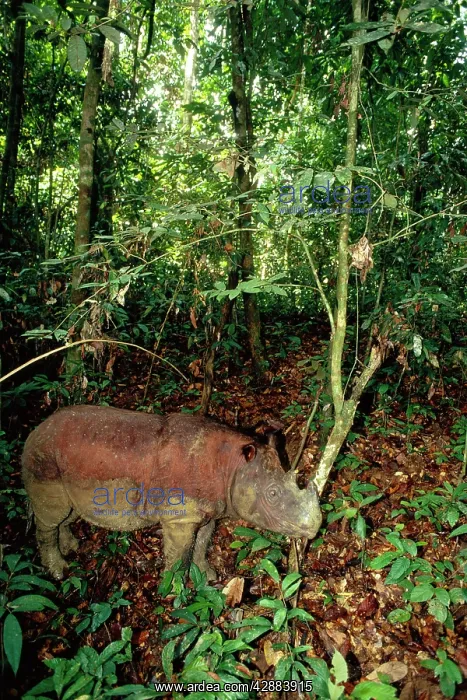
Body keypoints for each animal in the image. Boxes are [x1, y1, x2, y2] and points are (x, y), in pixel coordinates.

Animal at [22, 406, 322, 580]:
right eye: (272, 494)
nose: (315, 527)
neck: (233, 466)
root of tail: (35, 430)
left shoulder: (208, 510)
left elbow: (202, 543)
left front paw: (207, 576)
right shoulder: (180, 518)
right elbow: (180, 555)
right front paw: (174, 591)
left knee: (67, 513)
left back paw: (71, 547)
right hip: (43, 456)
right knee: (51, 516)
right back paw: (58, 571)